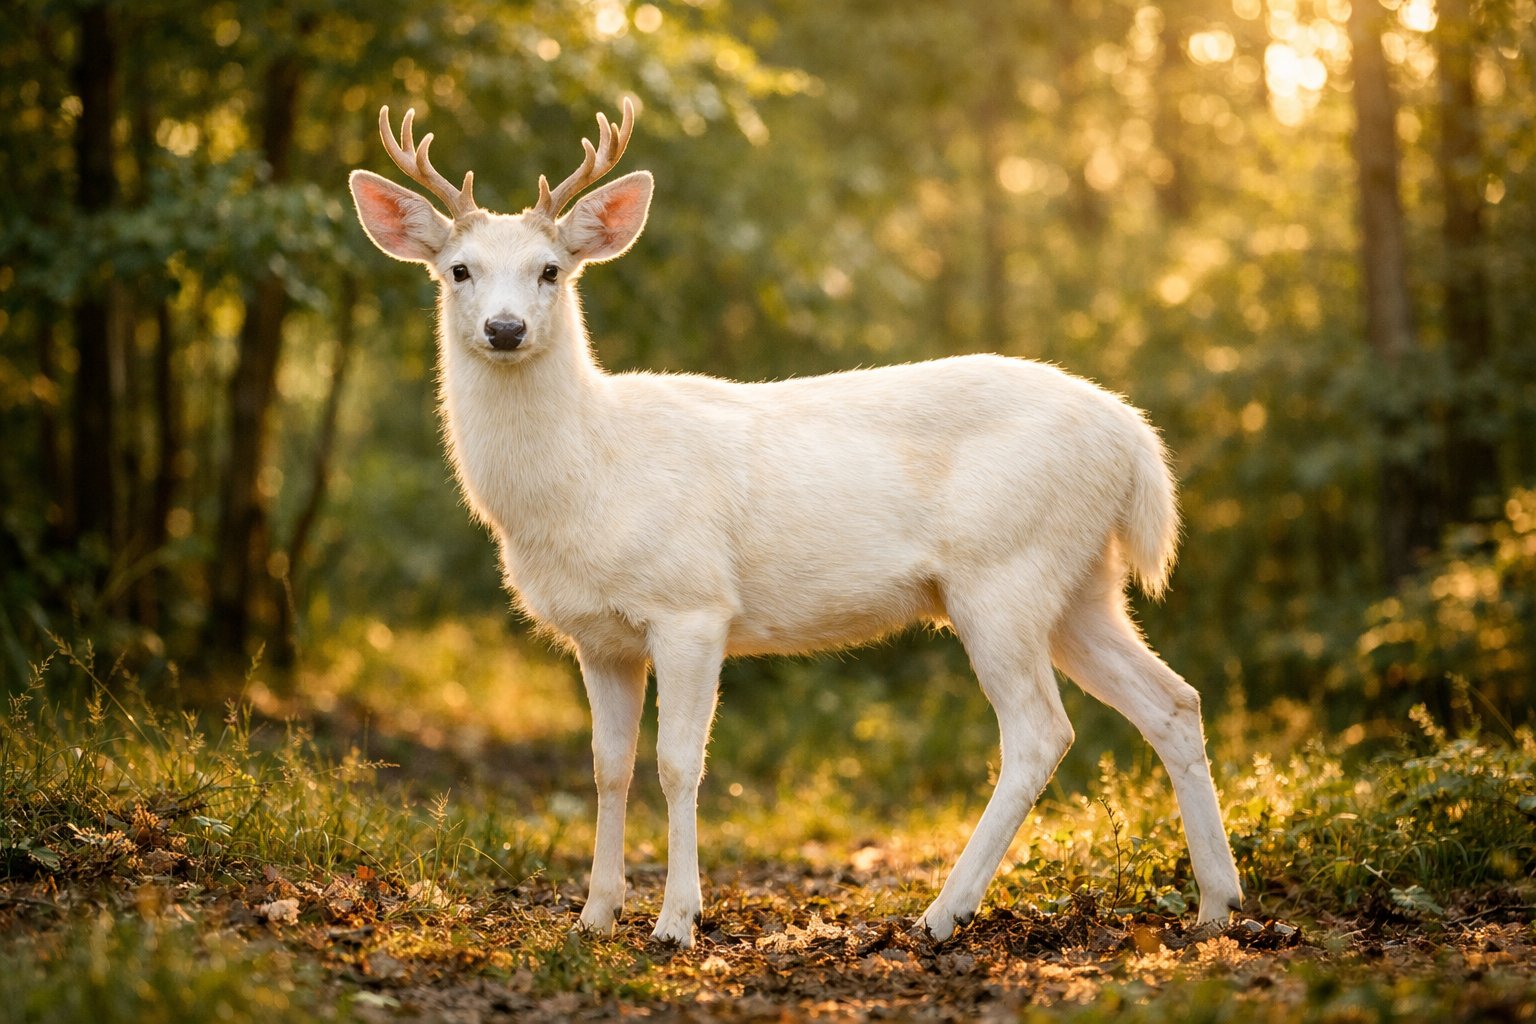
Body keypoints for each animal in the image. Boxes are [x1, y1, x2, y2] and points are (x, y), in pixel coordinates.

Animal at [348, 98, 1245, 948]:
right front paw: (595, 915)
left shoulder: (692, 605)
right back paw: (1218, 904)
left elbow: (678, 765)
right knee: (1173, 701)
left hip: (1005, 573)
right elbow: (609, 767)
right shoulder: (599, 637)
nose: (505, 329)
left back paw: (941, 914)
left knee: (1039, 732)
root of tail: (1134, 440)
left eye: (551, 269)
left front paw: (676, 921)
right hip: (1081, 583)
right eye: (458, 270)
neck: (590, 474)